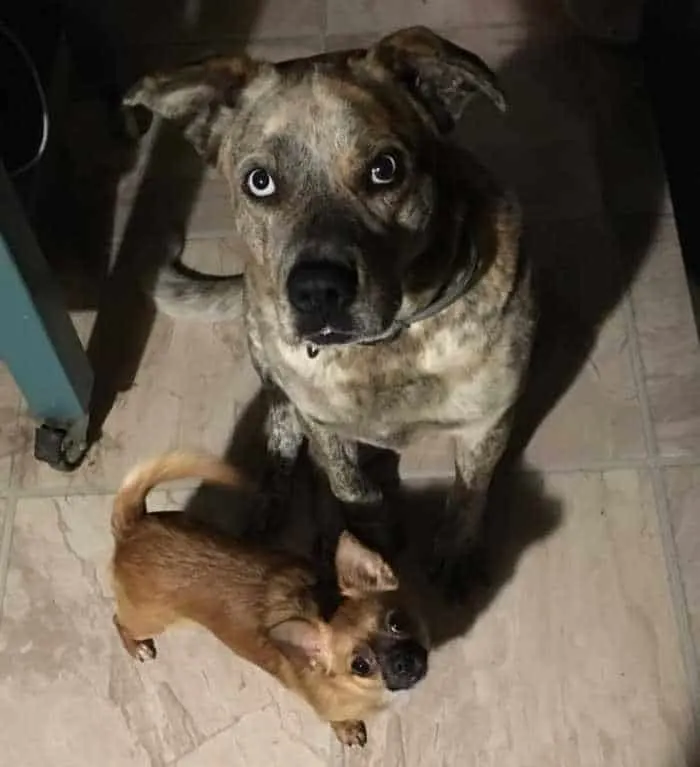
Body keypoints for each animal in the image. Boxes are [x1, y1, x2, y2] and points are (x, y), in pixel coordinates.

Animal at [126, 27, 536, 596]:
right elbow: (348, 484)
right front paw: (368, 533)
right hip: (269, 364)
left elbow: (470, 493)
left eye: (385, 170)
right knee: (286, 439)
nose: (317, 291)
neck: (388, 348)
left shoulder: (487, 421)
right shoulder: (320, 419)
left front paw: (456, 550)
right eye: (259, 182)